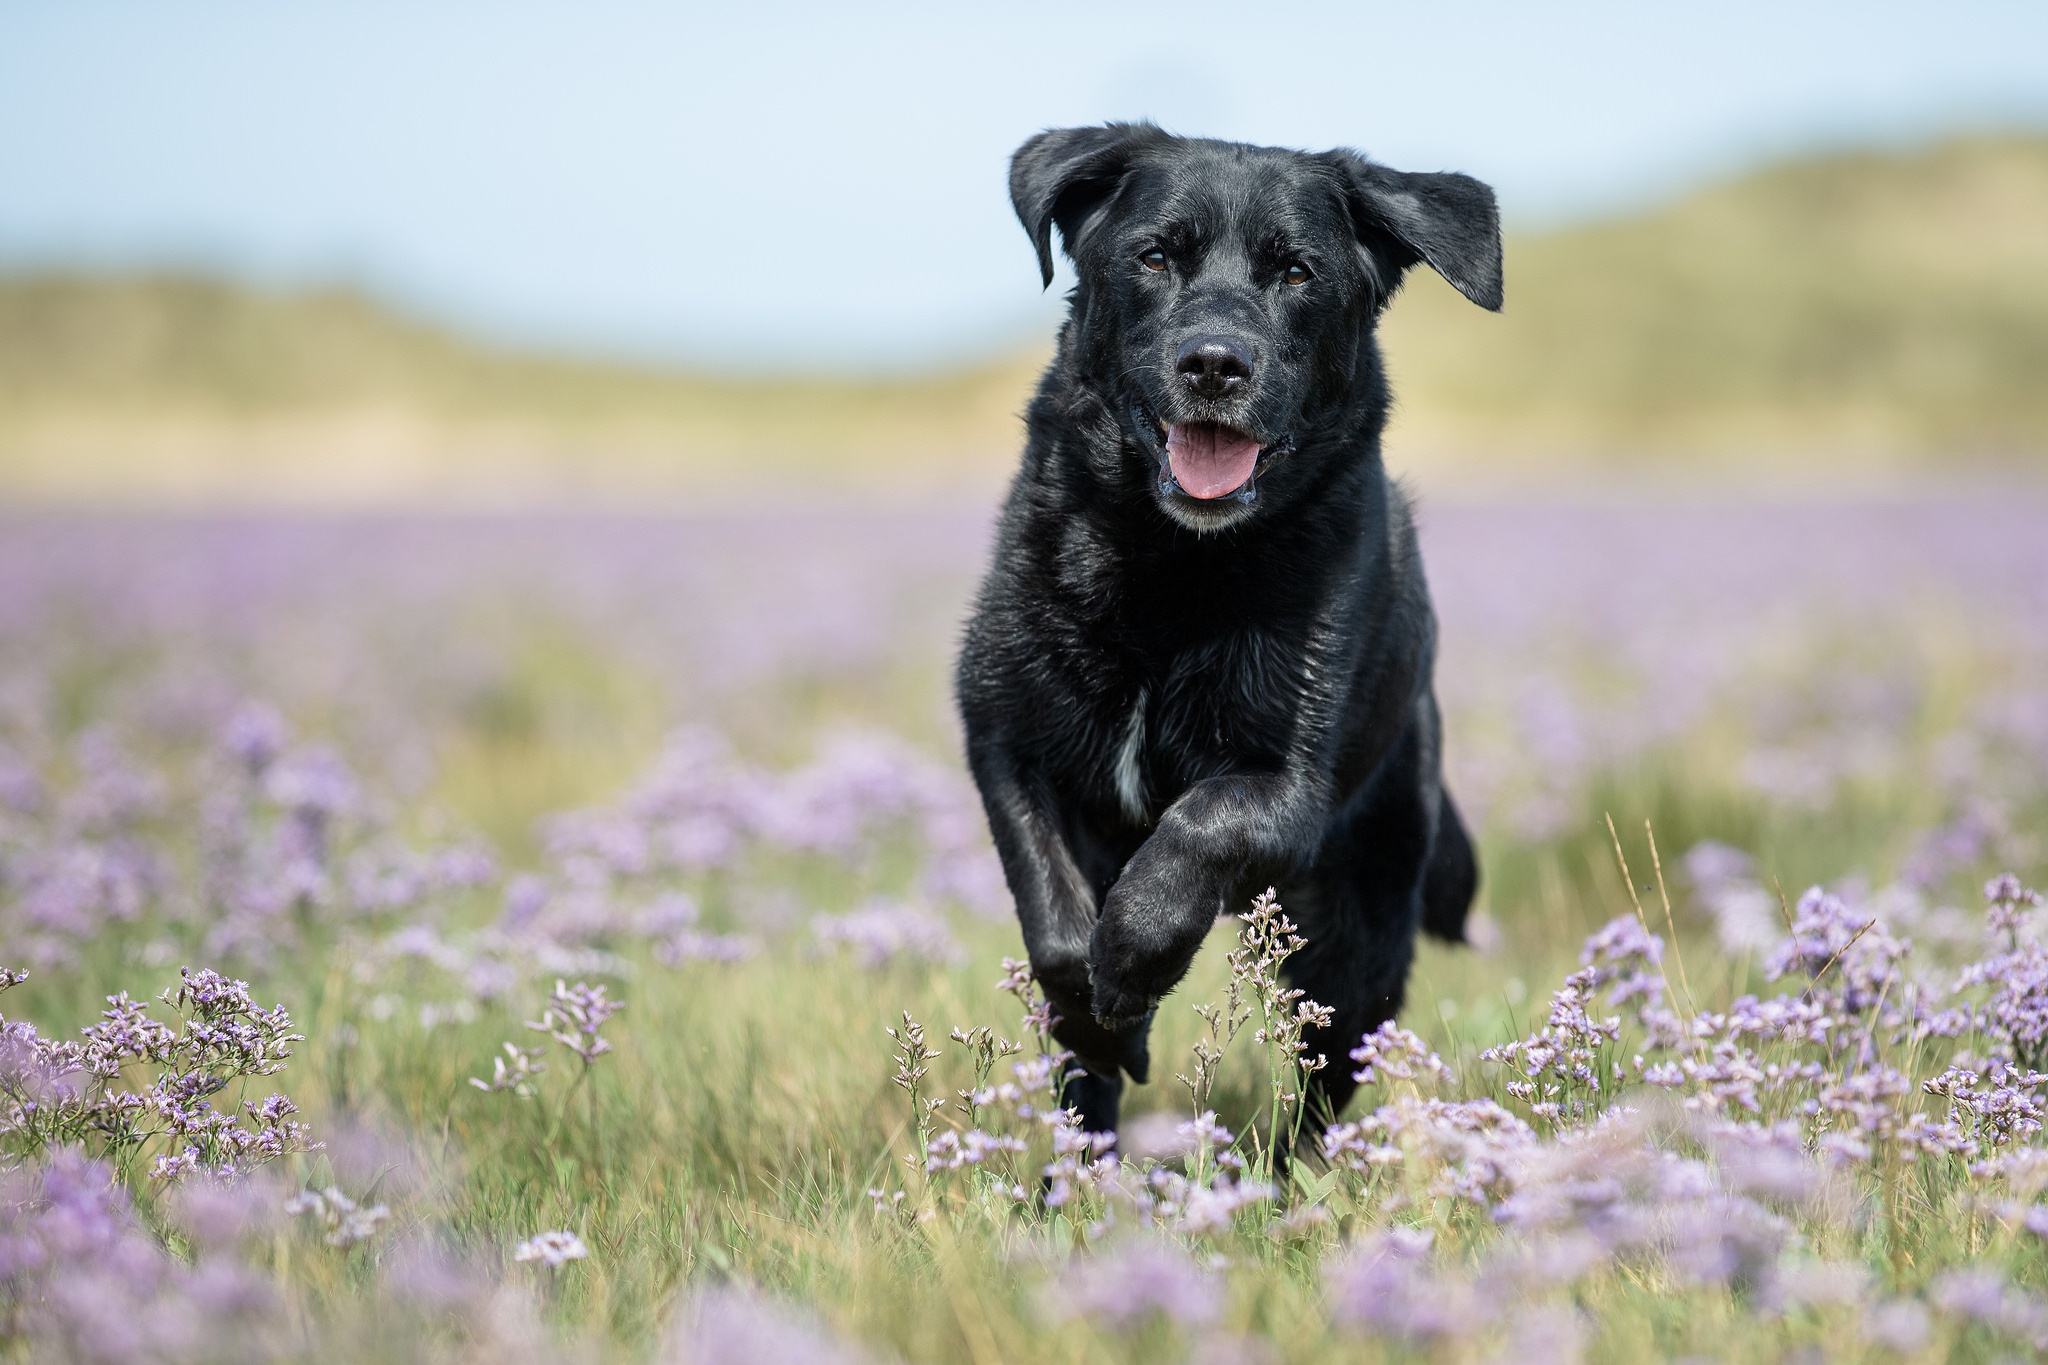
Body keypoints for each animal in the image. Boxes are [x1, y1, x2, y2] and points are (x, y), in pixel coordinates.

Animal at [950, 125, 1499, 1129]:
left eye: (1297, 271)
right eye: (1155, 257)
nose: (1214, 363)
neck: (1172, 568)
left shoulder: (1287, 784)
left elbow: (1194, 828)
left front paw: (1133, 956)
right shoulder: (1007, 741)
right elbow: (1053, 919)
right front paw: (1102, 1012)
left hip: (1358, 932)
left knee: (1325, 1076)